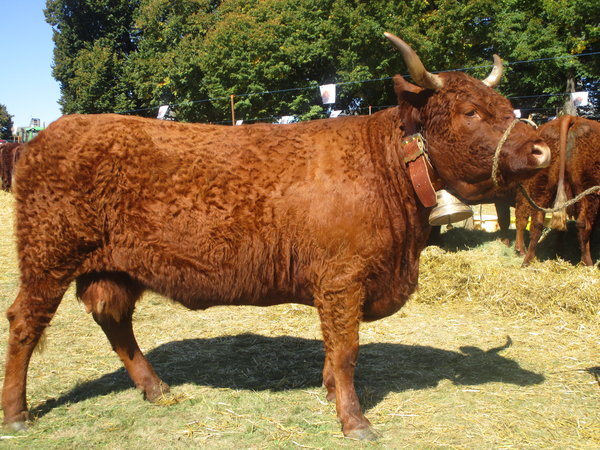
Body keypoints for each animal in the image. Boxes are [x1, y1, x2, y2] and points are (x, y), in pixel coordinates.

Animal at [2, 34, 552, 440]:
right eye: (470, 112)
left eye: (503, 104)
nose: (541, 148)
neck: (384, 166)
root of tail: (46, 136)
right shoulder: (342, 280)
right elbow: (347, 351)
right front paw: (355, 421)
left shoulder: (340, 287)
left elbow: (334, 351)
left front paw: (329, 394)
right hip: (47, 259)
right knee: (25, 322)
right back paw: (18, 412)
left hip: (111, 267)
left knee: (114, 322)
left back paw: (156, 389)